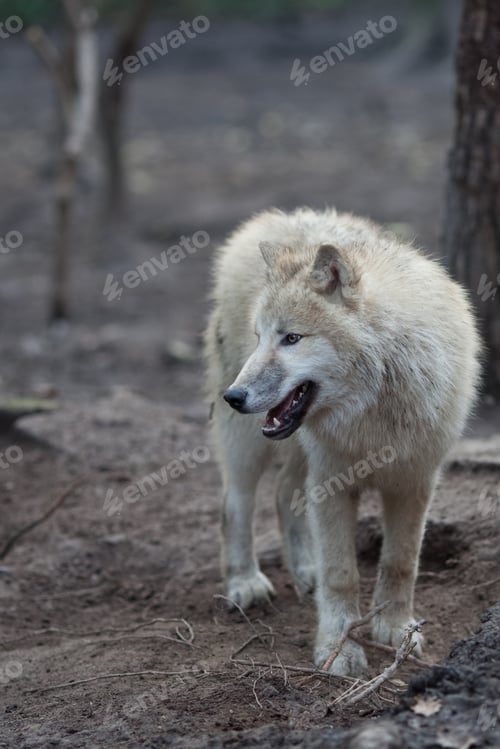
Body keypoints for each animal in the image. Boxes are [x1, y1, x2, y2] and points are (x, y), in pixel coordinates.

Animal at [205, 207, 480, 676]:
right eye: (260, 337)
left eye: (291, 338)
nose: (234, 396)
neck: (374, 406)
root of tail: (271, 220)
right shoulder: (332, 481)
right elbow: (341, 575)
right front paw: (339, 649)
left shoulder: (416, 480)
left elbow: (401, 562)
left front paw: (396, 629)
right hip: (249, 445)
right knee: (234, 505)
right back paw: (245, 583)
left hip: (301, 453)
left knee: (283, 493)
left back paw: (305, 570)